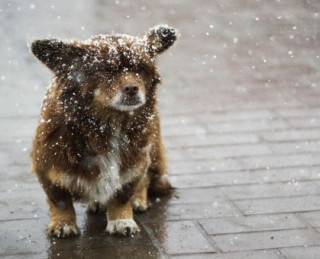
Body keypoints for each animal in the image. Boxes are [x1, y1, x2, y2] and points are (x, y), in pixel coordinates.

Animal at [30, 24, 178, 238]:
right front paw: (63, 224)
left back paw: (138, 199)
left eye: (140, 69)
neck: (107, 124)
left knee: (147, 177)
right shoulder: (47, 166)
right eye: (106, 70)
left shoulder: (133, 163)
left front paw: (121, 220)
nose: (132, 88)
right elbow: (59, 200)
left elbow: (122, 195)